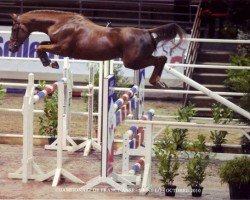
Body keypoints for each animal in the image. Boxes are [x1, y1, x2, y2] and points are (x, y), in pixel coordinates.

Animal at [8, 10, 185, 88]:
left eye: (14, 29)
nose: (11, 48)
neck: (61, 23)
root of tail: (147, 32)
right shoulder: (54, 43)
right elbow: (42, 44)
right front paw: (50, 62)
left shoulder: (62, 48)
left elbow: (39, 47)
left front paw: (50, 63)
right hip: (136, 61)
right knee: (161, 60)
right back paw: (159, 82)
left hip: (133, 62)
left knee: (160, 59)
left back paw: (157, 82)